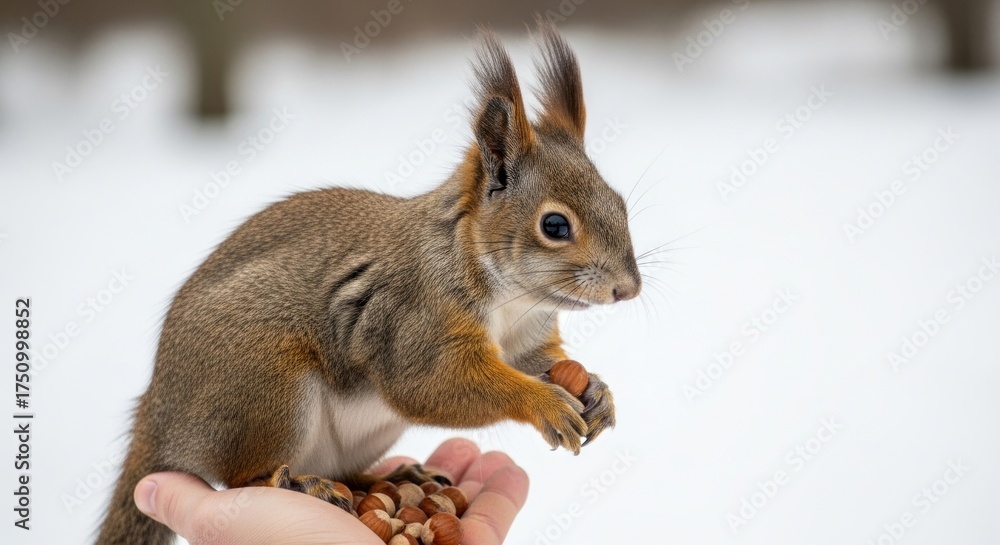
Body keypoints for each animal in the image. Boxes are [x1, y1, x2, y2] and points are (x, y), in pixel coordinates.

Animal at [97, 20, 641, 545]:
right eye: (555, 226)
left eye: (619, 203)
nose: (628, 289)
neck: (510, 299)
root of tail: (159, 417)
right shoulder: (414, 319)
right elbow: (429, 383)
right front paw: (543, 403)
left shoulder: (525, 338)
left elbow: (538, 363)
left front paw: (598, 392)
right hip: (264, 386)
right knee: (240, 478)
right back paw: (299, 485)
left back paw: (395, 479)